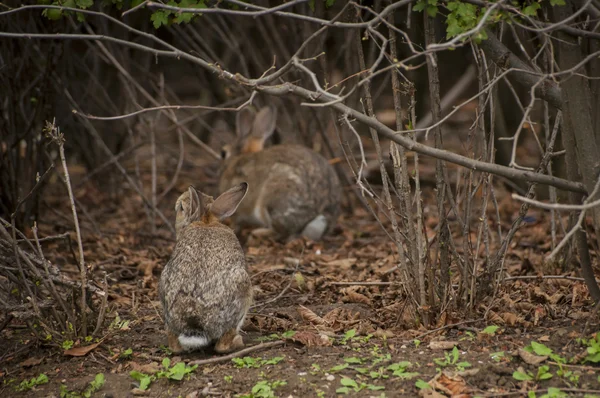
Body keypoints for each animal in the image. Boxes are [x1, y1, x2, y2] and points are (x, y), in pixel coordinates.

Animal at [158, 183, 252, 354]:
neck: (206, 221)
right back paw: (238, 342)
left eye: (181, 208)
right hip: (244, 290)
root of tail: (194, 322)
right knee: (222, 345)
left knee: (174, 345)